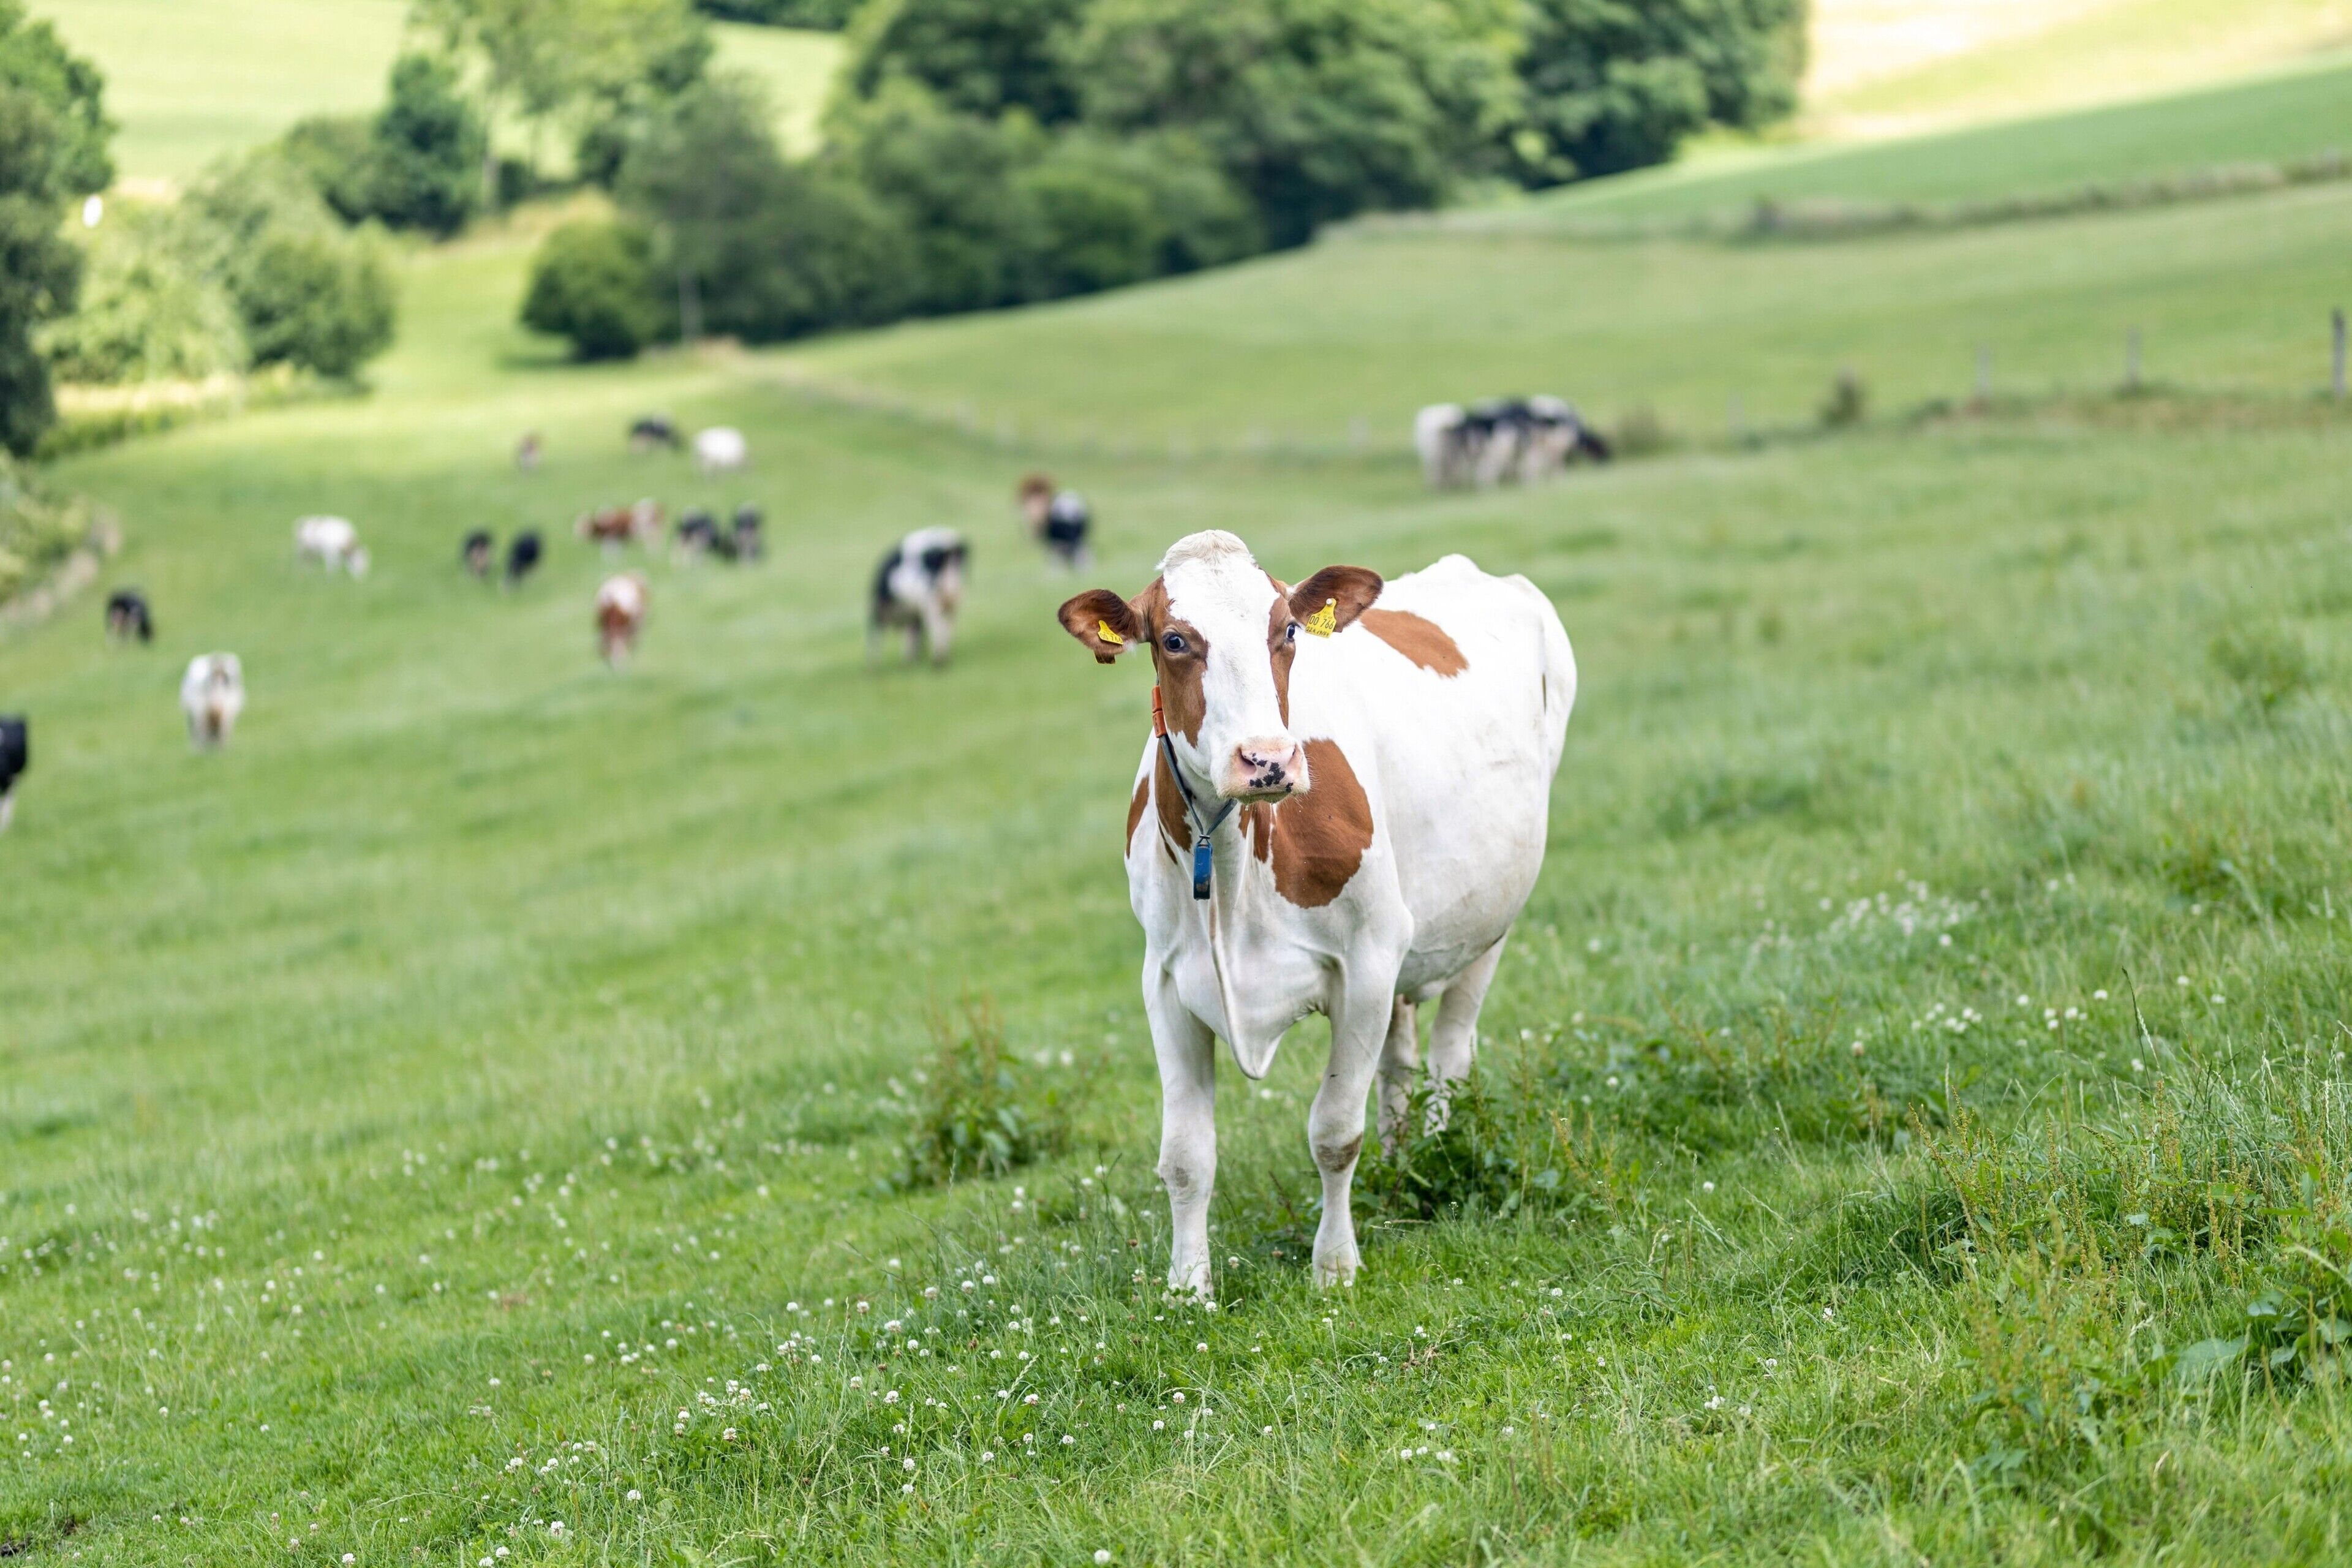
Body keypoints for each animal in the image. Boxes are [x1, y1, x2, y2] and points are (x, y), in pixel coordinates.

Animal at [869, 527, 967, 667]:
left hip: (931, 601)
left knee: (937, 626)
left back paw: (937, 661)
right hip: (952, 601)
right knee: (948, 626)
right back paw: (943, 658)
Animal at [1056, 530, 1575, 1295]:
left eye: (1288, 630)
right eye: (1175, 639)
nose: (1266, 760)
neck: (1233, 869)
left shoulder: (1367, 962)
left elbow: (1334, 1131)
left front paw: (1334, 1266)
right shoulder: (1167, 983)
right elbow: (1185, 1155)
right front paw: (1187, 1287)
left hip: (1489, 923)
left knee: (1450, 1054)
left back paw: (1436, 1151)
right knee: (1401, 1061)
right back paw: (1400, 1162)